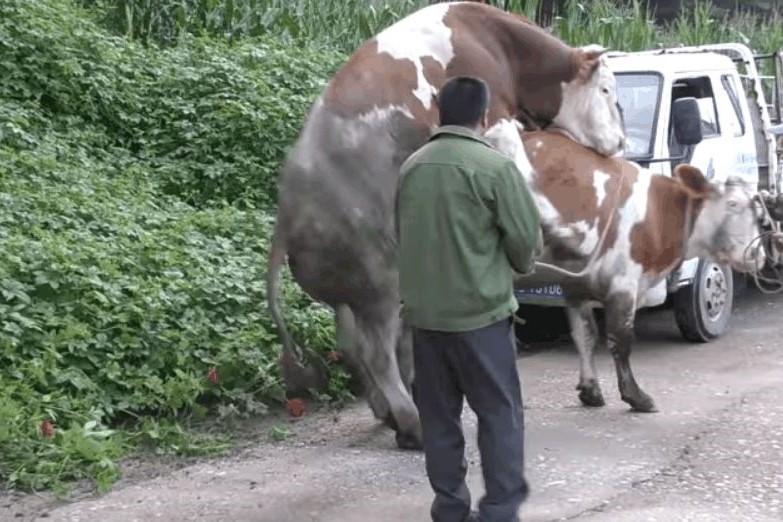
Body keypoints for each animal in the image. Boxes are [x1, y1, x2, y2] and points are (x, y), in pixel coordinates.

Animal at [266, 1, 628, 446]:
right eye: (607, 90)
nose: (621, 143)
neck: (496, 41)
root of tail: (288, 206)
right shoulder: (498, 121)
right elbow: (523, 174)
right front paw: (565, 231)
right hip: (380, 278)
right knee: (376, 352)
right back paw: (412, 424)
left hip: (350, 293)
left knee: (353, 346)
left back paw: (390, 414)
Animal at [490, 126, 764, 410]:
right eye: (733, 204)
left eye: (757, 209)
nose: (757, 253)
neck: (659, 211)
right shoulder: (624, 283)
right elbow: (620, 341)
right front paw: (636, 396)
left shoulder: (575, 285)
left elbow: (584, 335)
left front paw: (590, 390)